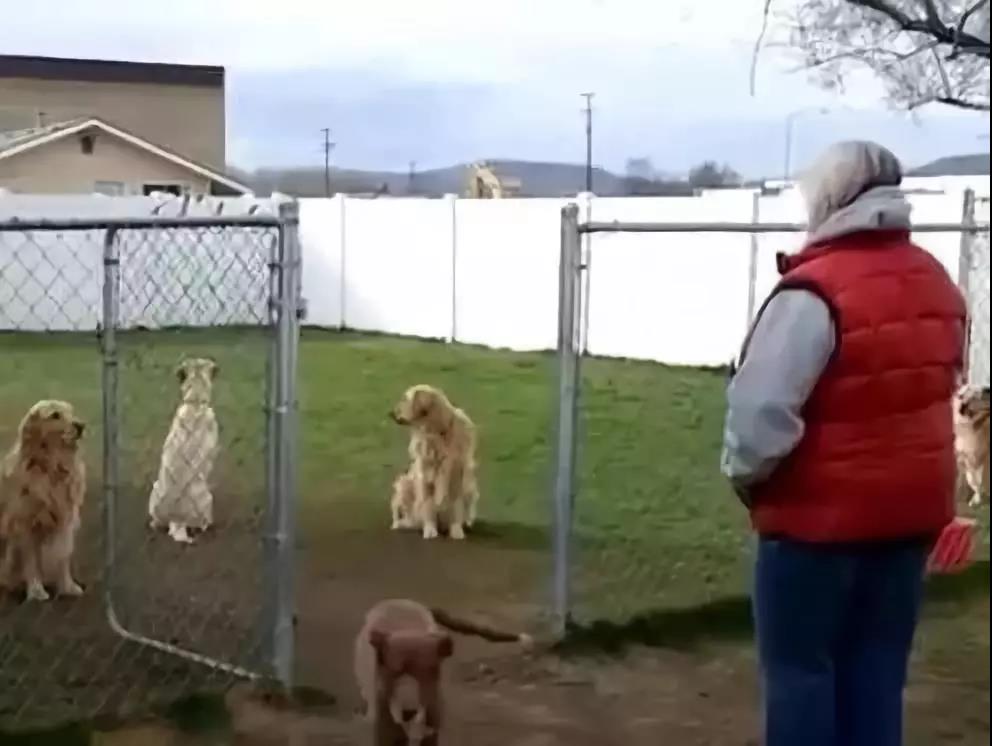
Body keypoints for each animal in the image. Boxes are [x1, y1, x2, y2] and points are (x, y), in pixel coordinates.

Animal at [0, 400, 86, 602]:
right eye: (55, 415)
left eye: (71, 412)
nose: (81, 426)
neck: (52, 468)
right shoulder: (24, 524)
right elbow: (31, 561)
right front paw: (36, 591)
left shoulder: (65, 521)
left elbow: (63, 556)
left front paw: (68, 586)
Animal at [389, 385, 480, 541]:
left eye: (405, 399)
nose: (391, 414)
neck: (437, 432)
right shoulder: (425, 476)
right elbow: (428, 507)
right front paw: (430, 530)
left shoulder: (456, 475)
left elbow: (456, 508)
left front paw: (456, 531)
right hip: (405, 483)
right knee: (402, 513)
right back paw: (401, 524)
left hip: (469, 487)